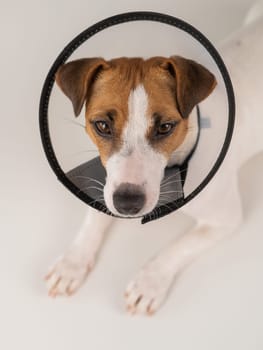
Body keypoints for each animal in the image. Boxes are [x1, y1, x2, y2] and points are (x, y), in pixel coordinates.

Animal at [44, 6, 263, 316]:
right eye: (102, 125)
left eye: (166, 127)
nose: (128, 203)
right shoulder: (108, 184)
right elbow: (94, 215)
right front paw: (72, 263)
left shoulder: (225, 219)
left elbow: (177, 248)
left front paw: (149, 283)